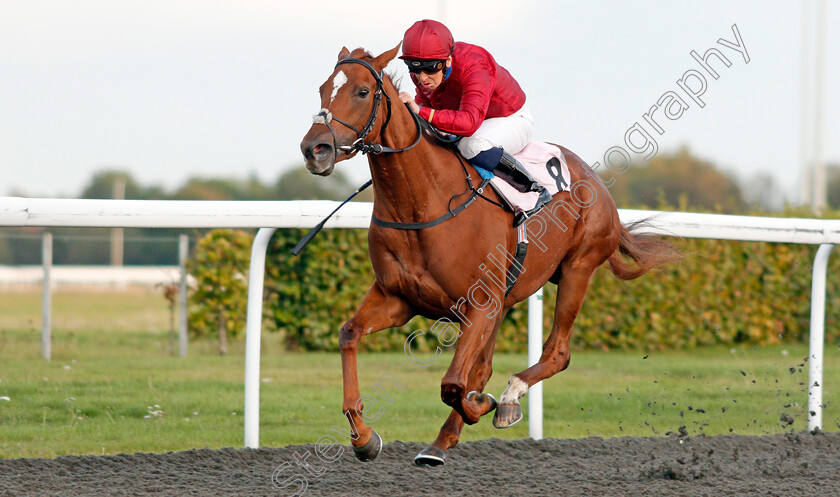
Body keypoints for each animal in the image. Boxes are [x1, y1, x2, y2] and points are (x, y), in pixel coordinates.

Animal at [298, 43, 680, 464]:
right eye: (321, 90)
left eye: (363, 92)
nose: (315, 149)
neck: (422, 202)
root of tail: (593, 177)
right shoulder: (398, 298)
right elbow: (349, 334)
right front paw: (364, 438)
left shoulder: (479, 302)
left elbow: (453, 383)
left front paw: (484, 404)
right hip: (507, 297)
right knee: (485, 366)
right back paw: (446, 437)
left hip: (577, 269)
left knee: (556, 353)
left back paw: (508, 397)